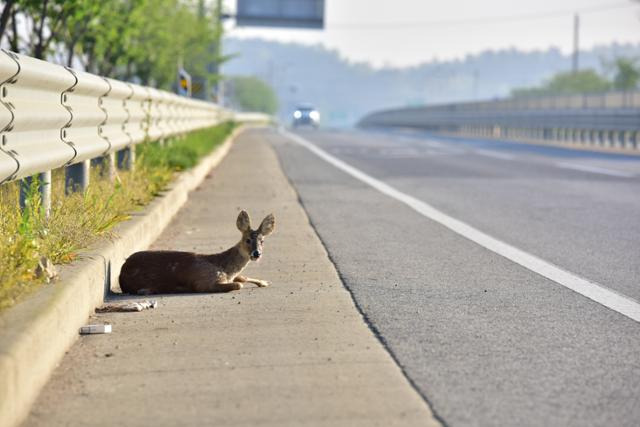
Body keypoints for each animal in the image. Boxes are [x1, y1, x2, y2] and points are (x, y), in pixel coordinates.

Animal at [120, 211, 276, 298]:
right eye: (247, 240)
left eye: (262, 241)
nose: (256, 253)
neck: (223, 267)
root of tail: (121, 272)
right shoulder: (204, 282)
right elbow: (238, 284)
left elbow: (241, 278)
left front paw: (264, 282)